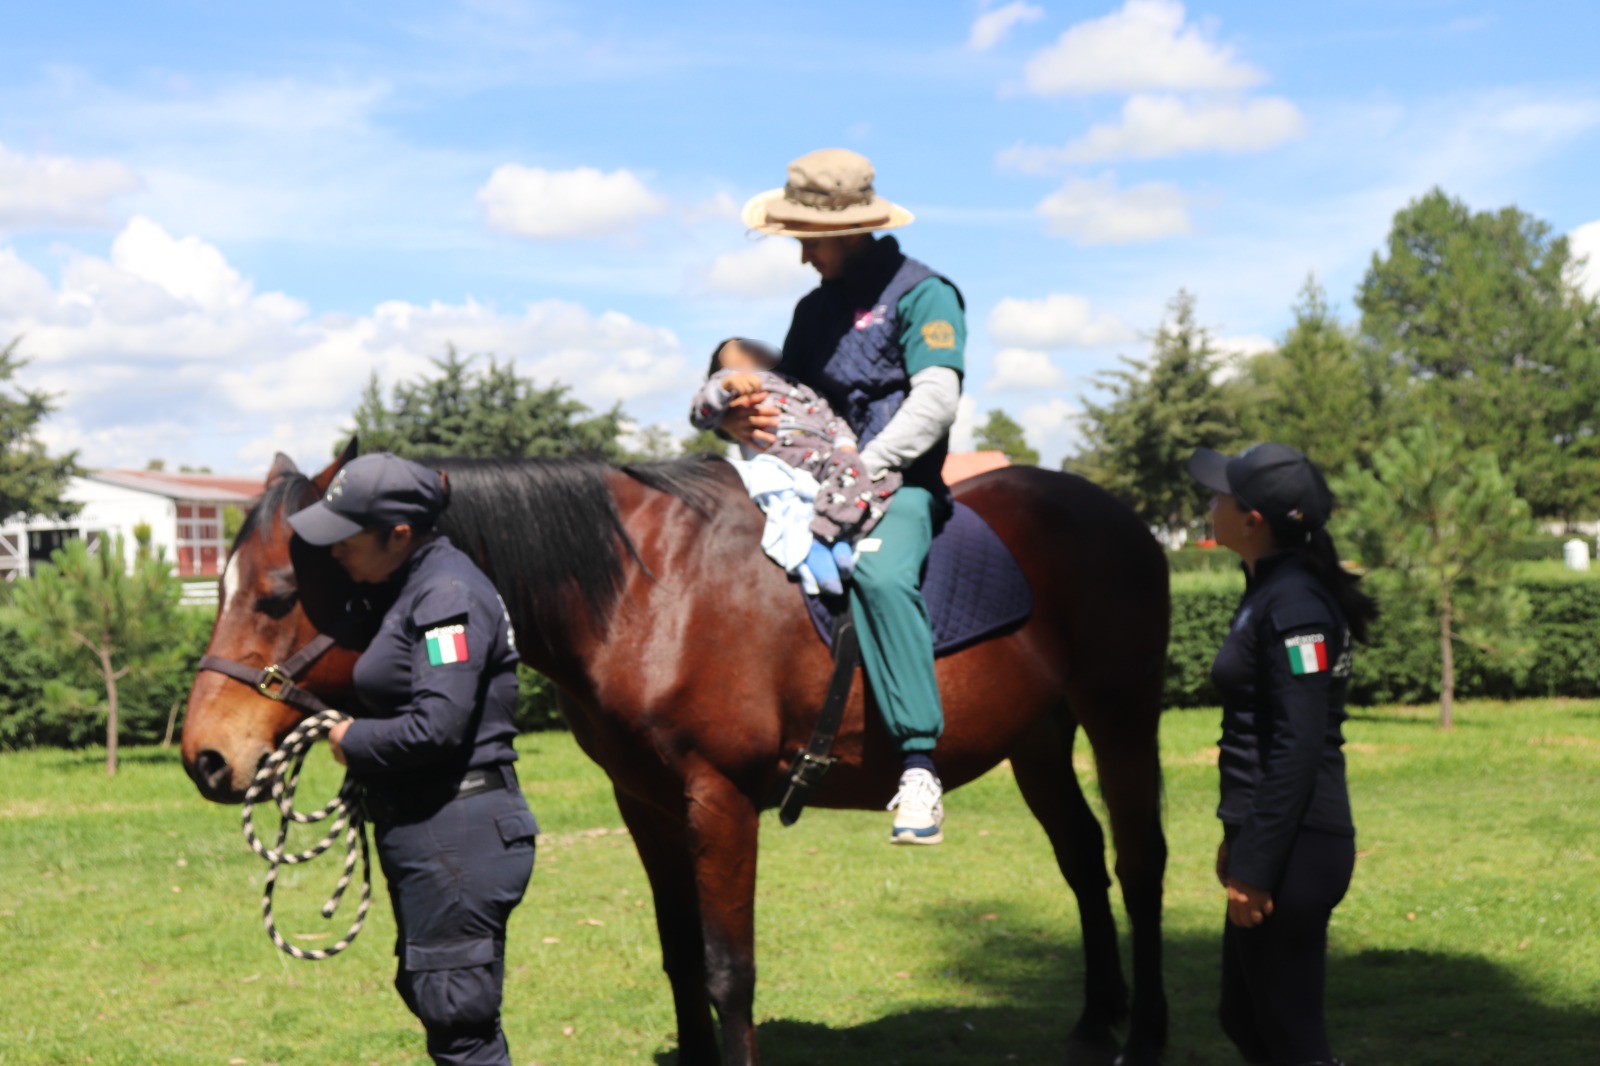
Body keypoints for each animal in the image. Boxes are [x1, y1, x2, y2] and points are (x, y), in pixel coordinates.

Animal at [181, 438, 1177, 1062]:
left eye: (277, 596)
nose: (205, 756)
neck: (650, 591)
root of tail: (1117, 515)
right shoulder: (648, 803)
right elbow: (680, 954)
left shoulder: (720, 799)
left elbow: (729, 970)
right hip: (1039, 742)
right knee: (1084, 860)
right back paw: (1097, 1020)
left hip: (1121, 717)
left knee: (1140, 863)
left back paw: (1145, 1035)